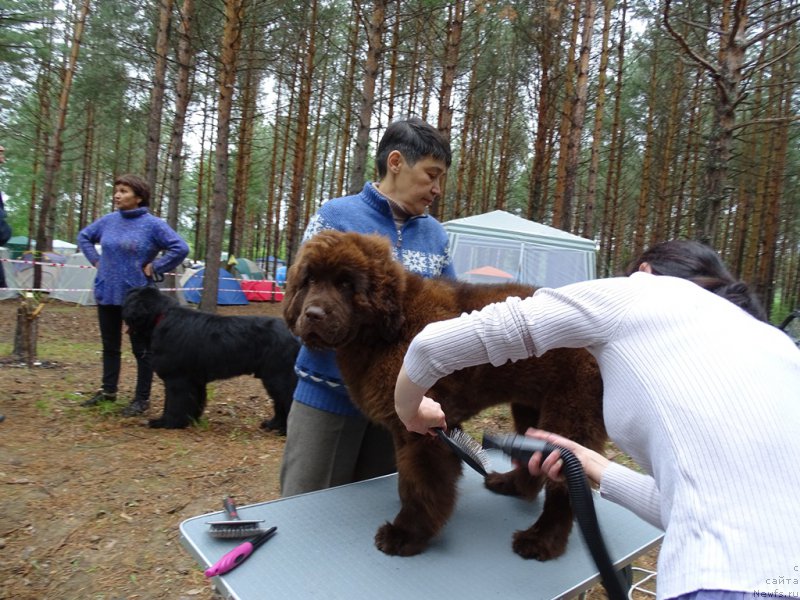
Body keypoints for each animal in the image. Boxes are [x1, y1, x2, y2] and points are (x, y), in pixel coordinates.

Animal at [122, 286, 300, 432]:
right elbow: (195, 401)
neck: (161, 316)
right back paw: (274, 425)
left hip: (279, 377)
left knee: (287, 400)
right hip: (275, 379)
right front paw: (190, 420)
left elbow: (173, 403)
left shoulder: (176, 379)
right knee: (280, 402)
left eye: (129, 301)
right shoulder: (194, 380)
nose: (122, 310)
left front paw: (166, 422)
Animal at [284, 231, 604, 564]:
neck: (391, 328)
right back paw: (512, 485)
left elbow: (422, 484)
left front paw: (407, 533)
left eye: (347, 284)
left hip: (571, 414)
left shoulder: (428, 429)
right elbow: (409, 479)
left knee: (567, 485)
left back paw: (542, 540)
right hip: (531, 406)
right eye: (308, 280)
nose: (313, 315)